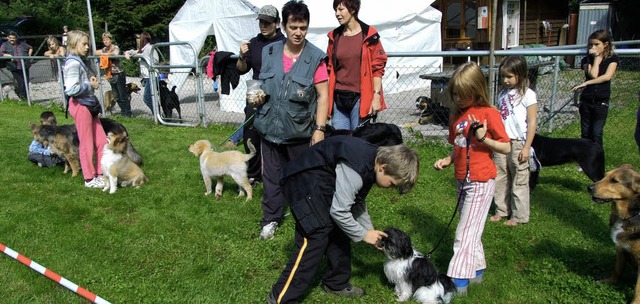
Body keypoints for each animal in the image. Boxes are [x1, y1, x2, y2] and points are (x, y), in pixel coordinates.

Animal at [588, 165, 640, 302]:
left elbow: (638, 289)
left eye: (614, 181)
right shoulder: (620, 249)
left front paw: (635, 302)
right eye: (604, 176)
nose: (589, 188)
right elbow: (617, 270)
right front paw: (608, 282)